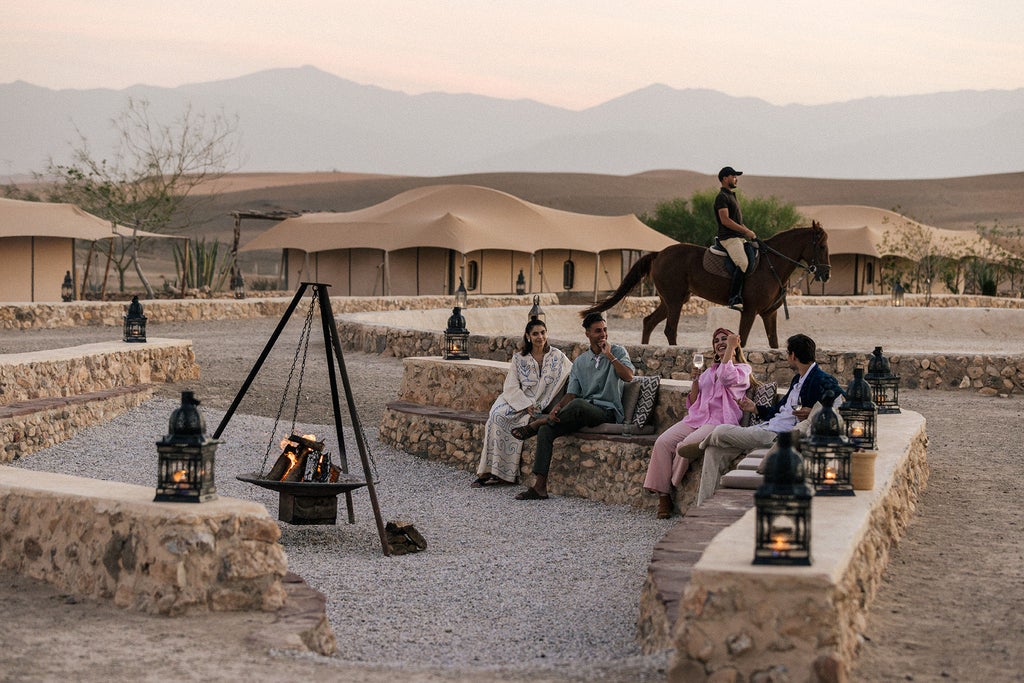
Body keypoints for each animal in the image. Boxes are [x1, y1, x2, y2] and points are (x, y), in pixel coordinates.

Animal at [581, 222, 827, 348]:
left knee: (649, 322)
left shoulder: (769, 313)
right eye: (822, 246)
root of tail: (659, 253)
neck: (771, 264)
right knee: (670, 329)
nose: (826, 274)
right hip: (674, 300)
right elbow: (743, 339)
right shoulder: (750, 310)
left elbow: (774, 343)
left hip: (671, 300)